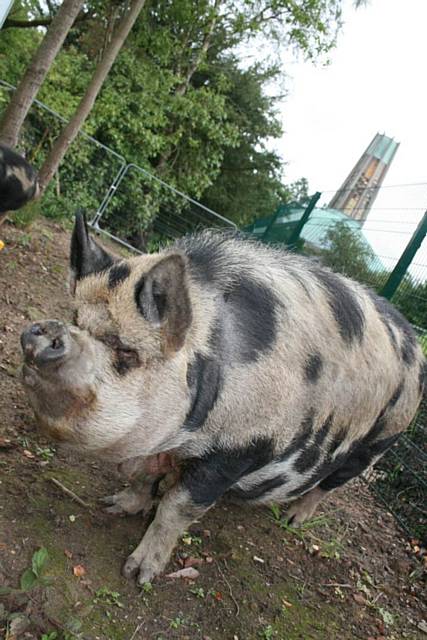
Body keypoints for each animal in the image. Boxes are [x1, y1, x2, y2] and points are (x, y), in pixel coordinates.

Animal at [19, 212, 424, 584]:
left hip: (380, 440)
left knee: (329, 484)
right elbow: (142, 480)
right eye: (75, 319)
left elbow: (176, 508)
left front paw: (138, 574)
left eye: (126, 351)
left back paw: (293, 519)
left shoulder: (241, 448)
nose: (45, 331)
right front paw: (114, 506)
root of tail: (415, 345)